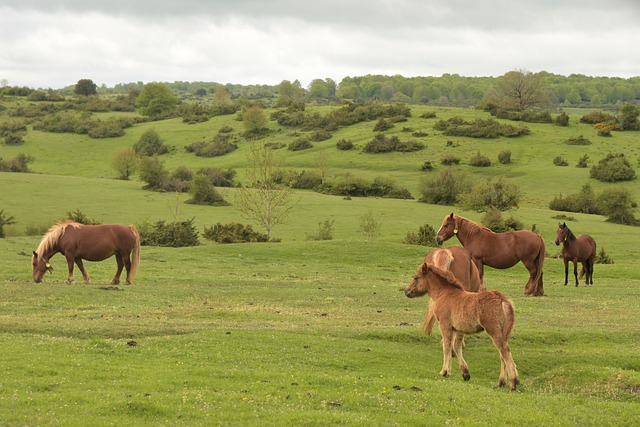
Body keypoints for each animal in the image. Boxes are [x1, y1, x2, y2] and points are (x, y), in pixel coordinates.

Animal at [404, 260, 520, 392]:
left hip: (493, 331)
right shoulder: (458, 329)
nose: (406, 291)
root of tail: (503, 300)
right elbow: (456, 347)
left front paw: (444, 371)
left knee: (504, 351)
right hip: (505, 333)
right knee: (502, 354)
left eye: (416, 277)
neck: (444, 293)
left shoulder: (445, 326)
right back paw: (501, 382)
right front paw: (465, 373)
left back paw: (513, 382)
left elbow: (447, 346)